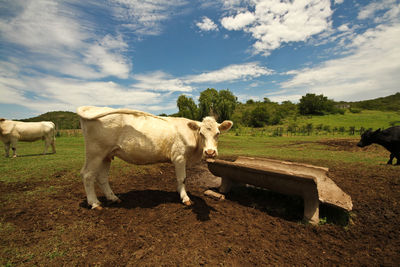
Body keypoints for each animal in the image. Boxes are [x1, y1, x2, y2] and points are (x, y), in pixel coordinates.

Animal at [77, 106, 234, 209]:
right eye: (201, 133)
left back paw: (113, 198)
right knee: (88, 175)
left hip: (106, 155)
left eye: (218, 133)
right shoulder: (179, 157)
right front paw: (185, 198)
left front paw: (179, 192)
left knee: (102, 177)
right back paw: (95, 203)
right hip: (95, 152)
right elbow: (182, 178)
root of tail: (94, 107)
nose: (210, 152)